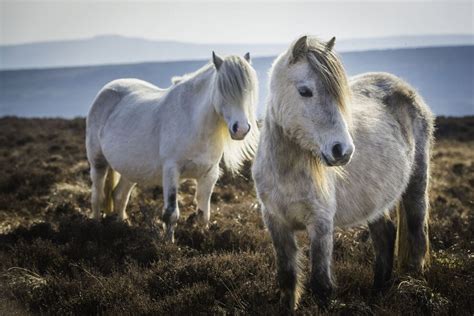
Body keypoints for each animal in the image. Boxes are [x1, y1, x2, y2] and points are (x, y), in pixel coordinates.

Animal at [84, 52, 256, 242]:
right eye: (223, 89)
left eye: (249, 91)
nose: (241, 129)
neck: (194, 123)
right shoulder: (171, 170)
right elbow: (171, 213)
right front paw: (169, 244)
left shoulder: (209, 174)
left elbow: (204, 214)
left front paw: (203, 238)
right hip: (98, 163)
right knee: (97, 196)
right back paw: (97, 228)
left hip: (131, 169)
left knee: (119, 195)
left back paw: (121, 226)